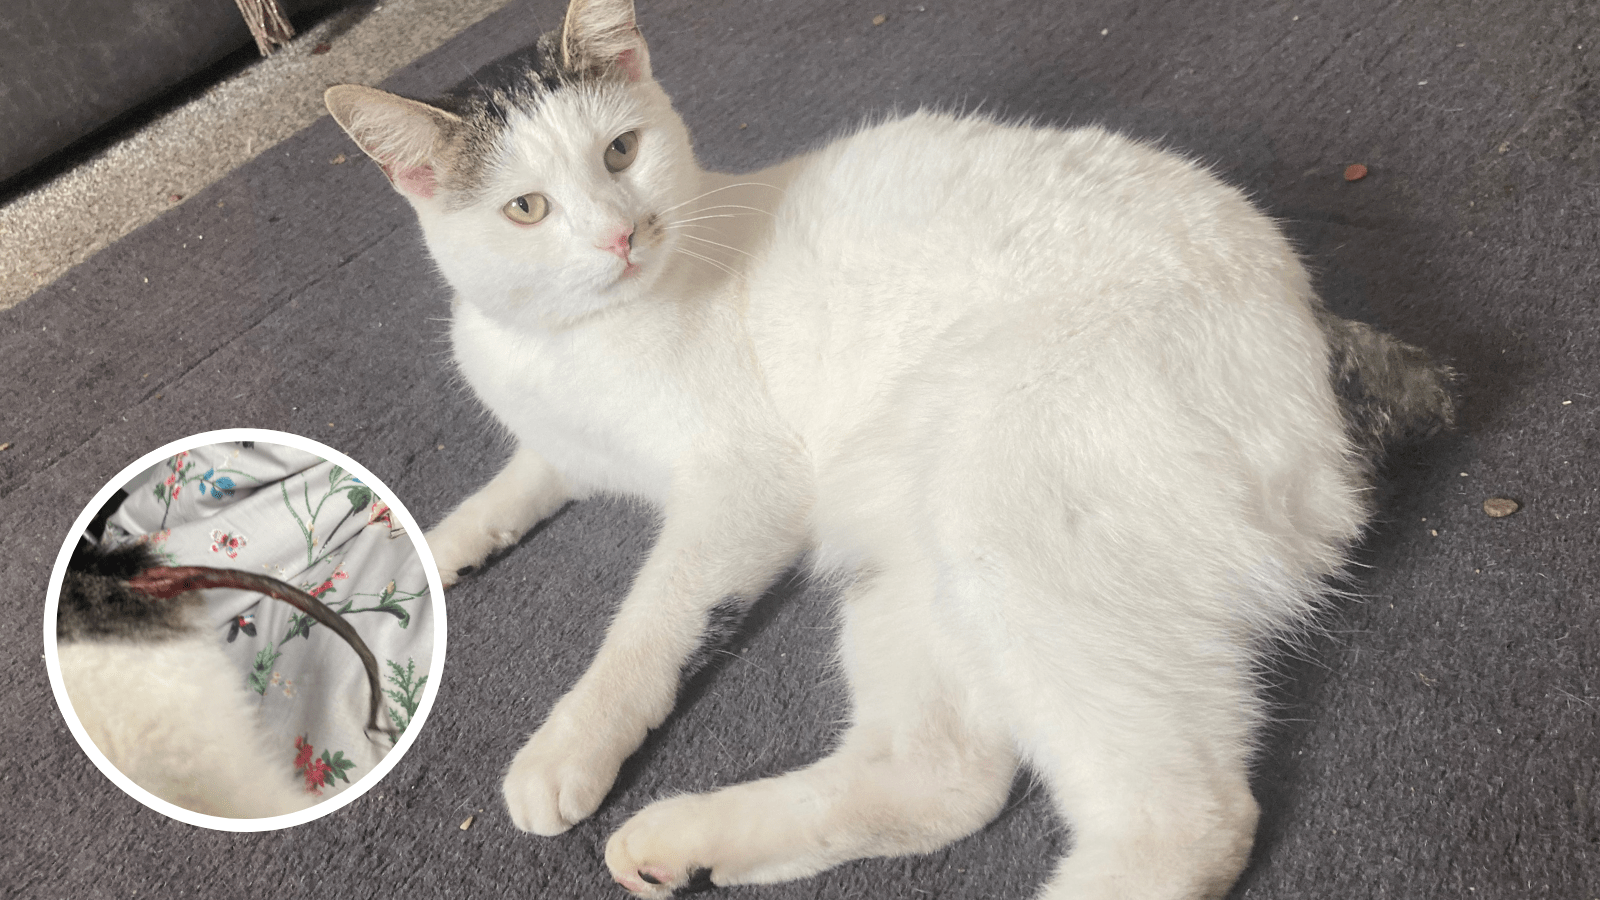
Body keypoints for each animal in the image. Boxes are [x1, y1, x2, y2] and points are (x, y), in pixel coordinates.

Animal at [324, 1, 1452, 890]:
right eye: (526, 208)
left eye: (619, 152)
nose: (621, 234)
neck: (563, 345)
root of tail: (1325, 339)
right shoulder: (559, 449)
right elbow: (506, 487)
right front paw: (427, 544)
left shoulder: (740, 486)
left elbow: (650, 624)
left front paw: (568, 745)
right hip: (916, 571)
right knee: (946, 779)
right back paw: (685, 841)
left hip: (1007, 512)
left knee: (1181, 820)